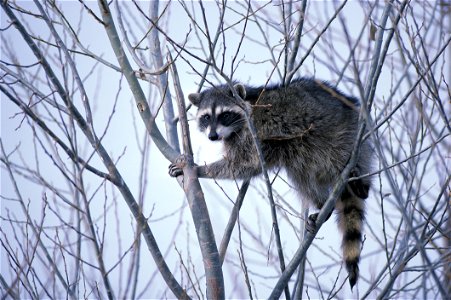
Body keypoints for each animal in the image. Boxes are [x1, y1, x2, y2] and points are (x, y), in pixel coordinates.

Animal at [170, 77, 374, 288]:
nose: (212, 136)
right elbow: (247, 166)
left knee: (339, 156)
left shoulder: (254, 133)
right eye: (206, 117)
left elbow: (244, 163)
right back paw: (321, 204)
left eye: (224, 115)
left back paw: (361, 184)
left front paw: (200, 169)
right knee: (300, 173)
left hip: (345, 136)